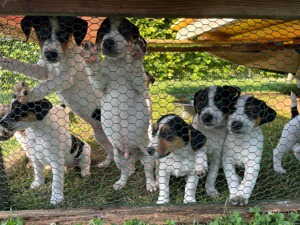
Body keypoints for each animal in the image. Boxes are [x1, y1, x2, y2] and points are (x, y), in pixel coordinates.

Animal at [0, 16, 113, 167]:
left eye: (63, 34)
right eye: (42, 32)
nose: (51, 54)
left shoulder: (64, 79)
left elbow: (44, 87)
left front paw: (27, 94)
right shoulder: (42, 71)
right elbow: (21, 65)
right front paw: (4, 62)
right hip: (100, 136)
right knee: (112, 151)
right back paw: (106, 163)